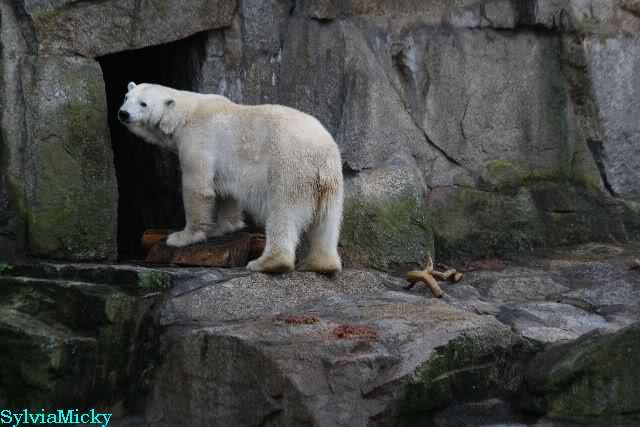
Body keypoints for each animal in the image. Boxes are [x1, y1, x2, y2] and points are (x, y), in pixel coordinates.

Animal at [118, 82, 343, 273]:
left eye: (143, 103)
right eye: (126, 97)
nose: (123, 113)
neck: (185, 114)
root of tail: (322, 152)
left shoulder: (197, 140)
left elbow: (198, 188)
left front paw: (182, 237)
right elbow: (226, 191)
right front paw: (222, 227)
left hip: (290, 167)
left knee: (283, 212)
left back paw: (267, 263)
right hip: (331, 179)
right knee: (328, 221)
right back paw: (320, 264)